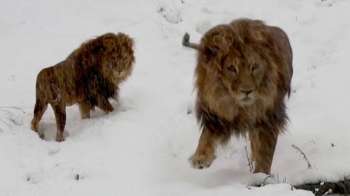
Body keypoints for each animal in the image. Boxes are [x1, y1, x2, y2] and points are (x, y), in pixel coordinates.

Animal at [182, 18, 294, 175]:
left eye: (254, 67)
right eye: (231, 68)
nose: (247, 91)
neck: (238, 106)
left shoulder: (269, 117)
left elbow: (265, 152)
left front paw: (260, 175)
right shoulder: (215, 115)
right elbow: (205, 136)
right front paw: (200, 158)